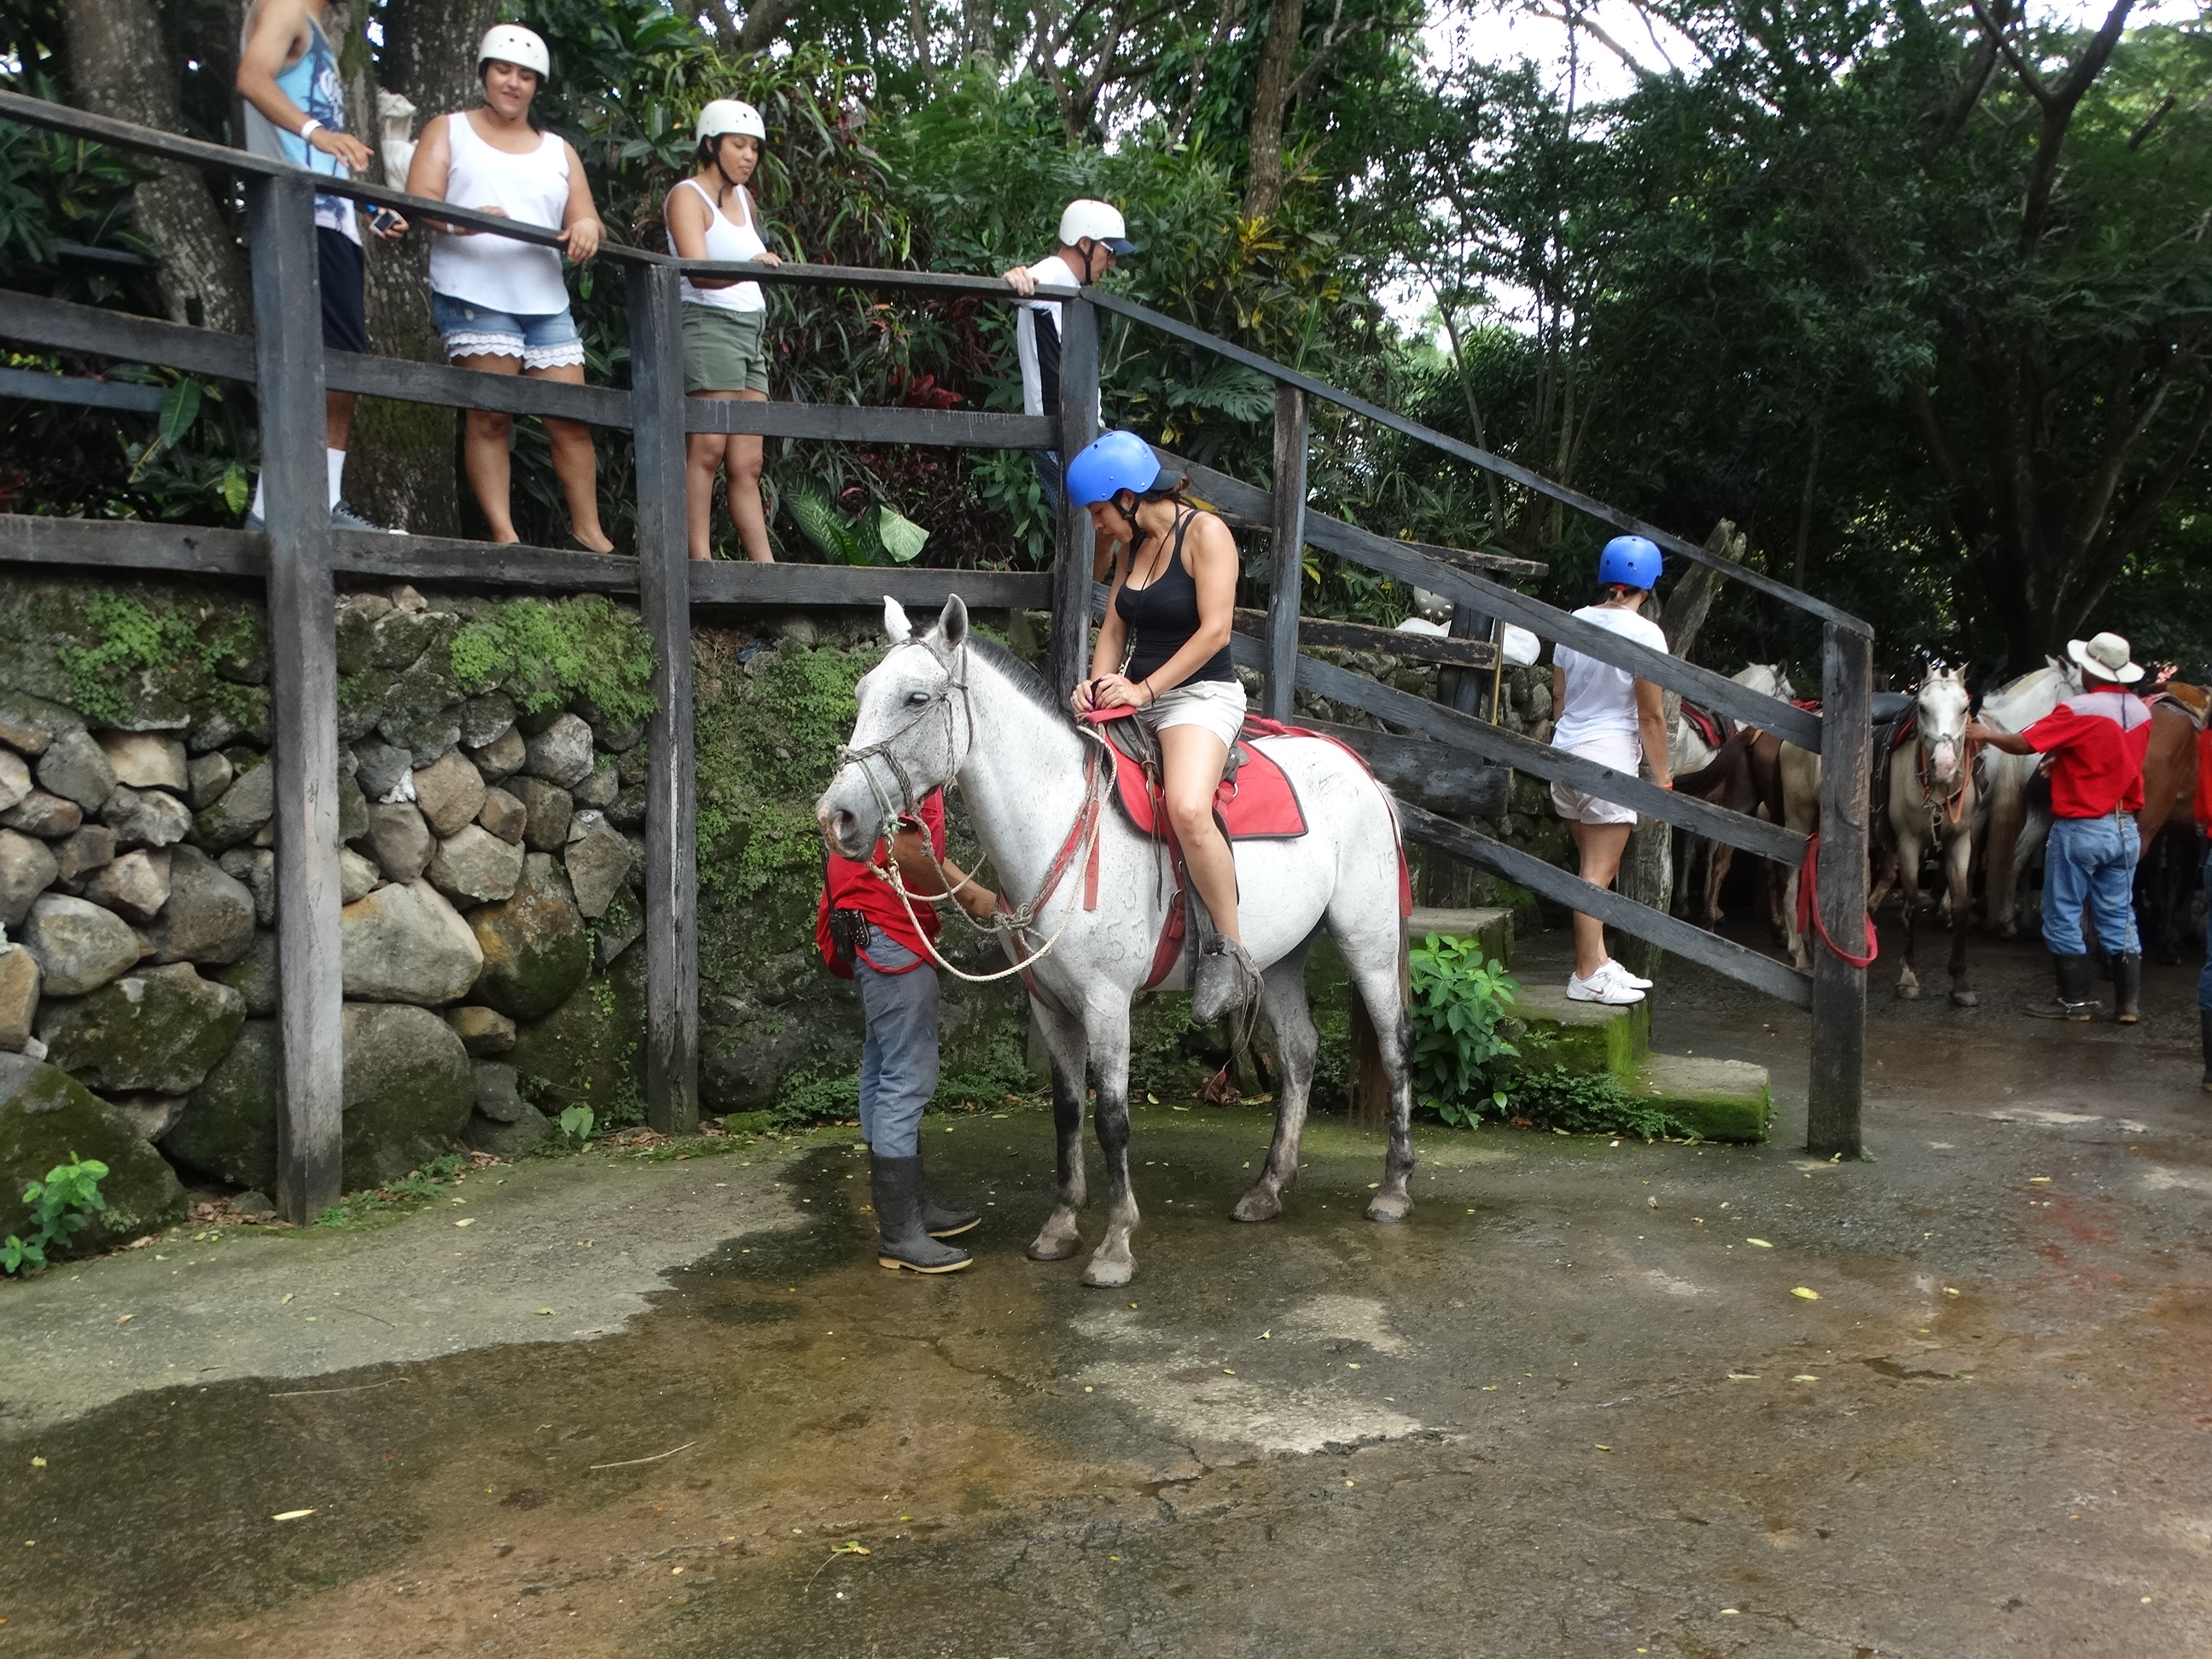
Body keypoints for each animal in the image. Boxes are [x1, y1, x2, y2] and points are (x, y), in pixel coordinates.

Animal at [815, 596, 1418, 1289]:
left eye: (915, 698)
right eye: (862, 693)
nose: (836, 816)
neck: (1058, 819)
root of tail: (1362, 772)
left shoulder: (1107, 1004)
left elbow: (1111, 1118)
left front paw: (1114, 1246)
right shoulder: (1051, 1007)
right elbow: (1067, 1110)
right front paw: (1059, 1228)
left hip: (1369, 941)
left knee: (1395, 1045)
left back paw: (1393, 1189)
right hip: (1282, 959)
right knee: (1298, 1053)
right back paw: (1268, 1189)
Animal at [1869, 666, 1981, 1006]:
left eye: (1965, 708)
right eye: (1922, 707)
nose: (1944, 765)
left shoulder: (1960, 841)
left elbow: (1961, 905)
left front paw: (1960, 981)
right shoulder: (1908, 843)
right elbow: (1910, 906)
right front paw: (1908, 977)